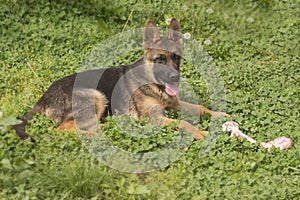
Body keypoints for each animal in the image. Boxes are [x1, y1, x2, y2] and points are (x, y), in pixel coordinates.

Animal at [12, 17, 229, 142]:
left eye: (176, 57)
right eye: (160, 59)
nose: (175, 77)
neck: (152, 83)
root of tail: (44, 97)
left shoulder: (175, 105)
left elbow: (200, 107)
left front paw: (220, 115)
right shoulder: (156, 119)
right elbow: (184, 123)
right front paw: (201, 133)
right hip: (96, 97)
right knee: (64, 129)